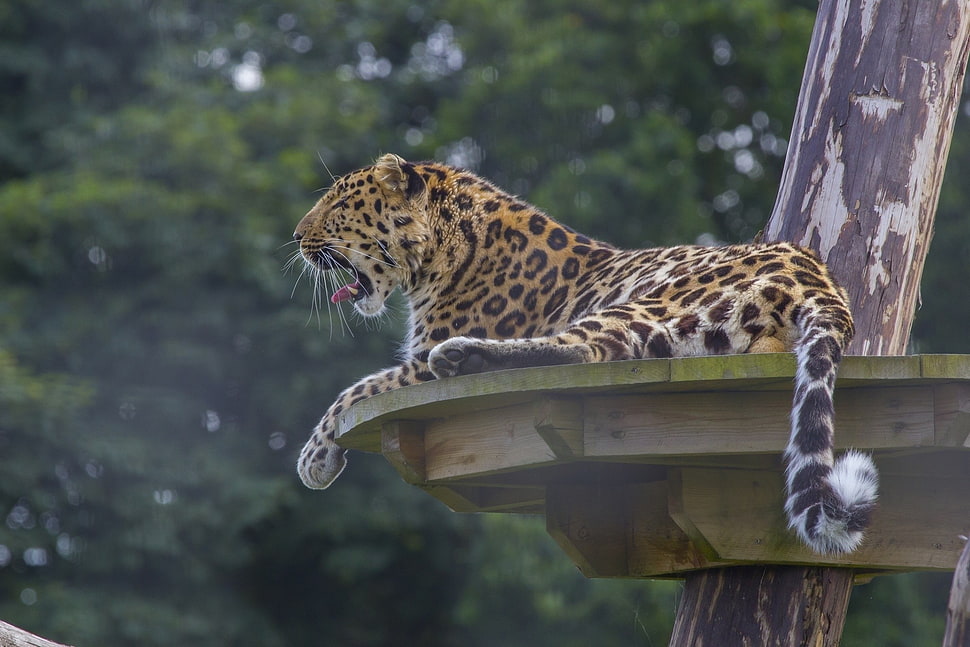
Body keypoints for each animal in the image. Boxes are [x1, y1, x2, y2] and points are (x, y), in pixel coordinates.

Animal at [292, 153, 878, 555]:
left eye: (339, 205)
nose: (296, 237)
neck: (443, 250)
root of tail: (817, 276)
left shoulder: (414, 361)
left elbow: (359, 388)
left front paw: (313, 458)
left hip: (649, 298)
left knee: (587, 349)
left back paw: (462, 359)